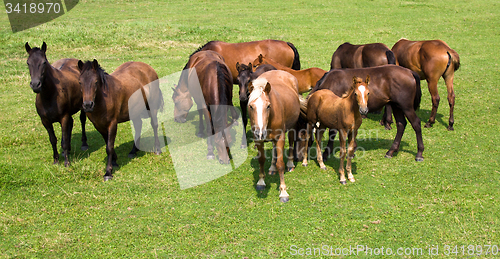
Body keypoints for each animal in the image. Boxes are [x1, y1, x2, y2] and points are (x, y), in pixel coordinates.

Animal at [247, 70, 298, 203]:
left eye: (268, 106)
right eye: (251, 106)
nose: (260, 133)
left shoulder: (280, 138)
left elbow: (281, 164)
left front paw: (283, 192)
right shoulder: (258, 140)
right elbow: (261, 159)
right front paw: (261, 181)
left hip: (292, 127)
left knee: (291, 142)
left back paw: (290, 164)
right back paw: (272, 167)